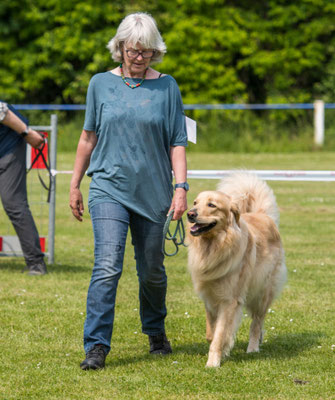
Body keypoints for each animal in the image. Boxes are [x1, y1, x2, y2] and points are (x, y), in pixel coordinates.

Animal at [188, 173, 288, 368]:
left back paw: (253, 347)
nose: (190, 214)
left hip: (262, 292)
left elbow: (219, 335)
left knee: (256, 322)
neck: (216, 245)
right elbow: (211, 333)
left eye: (212, 205)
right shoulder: (209, 296)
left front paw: (213, 362)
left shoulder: (229, 300)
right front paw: (223, 347)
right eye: (195, 202)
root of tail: (263, 215)